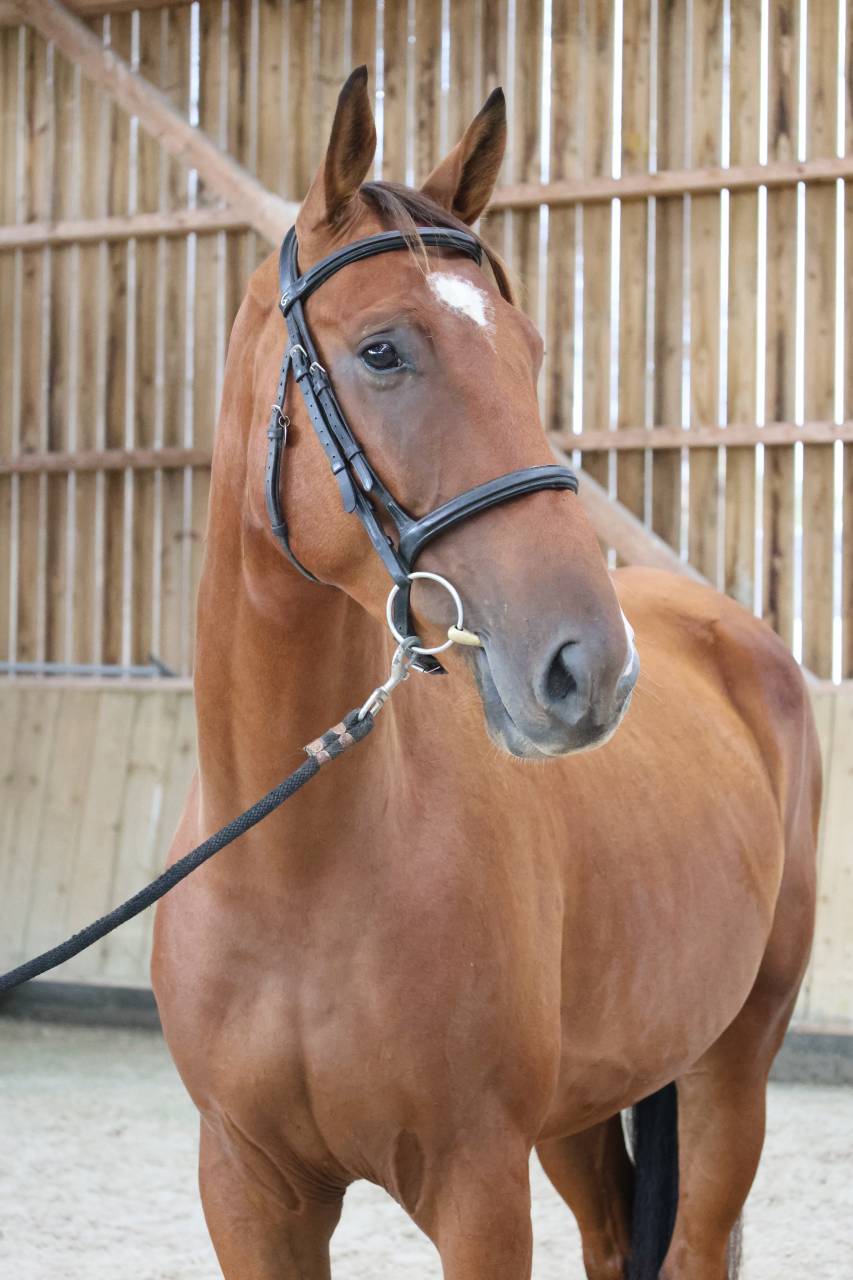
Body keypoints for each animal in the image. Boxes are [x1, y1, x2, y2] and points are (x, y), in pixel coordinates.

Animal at [152, 68, 819, 1280]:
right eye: (382, 350)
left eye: (530, 349)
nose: (590, 668)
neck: (297, 872)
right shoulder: (250, 1191)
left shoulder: (475, 1187)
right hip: (582, 1109)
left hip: (731, 1066)